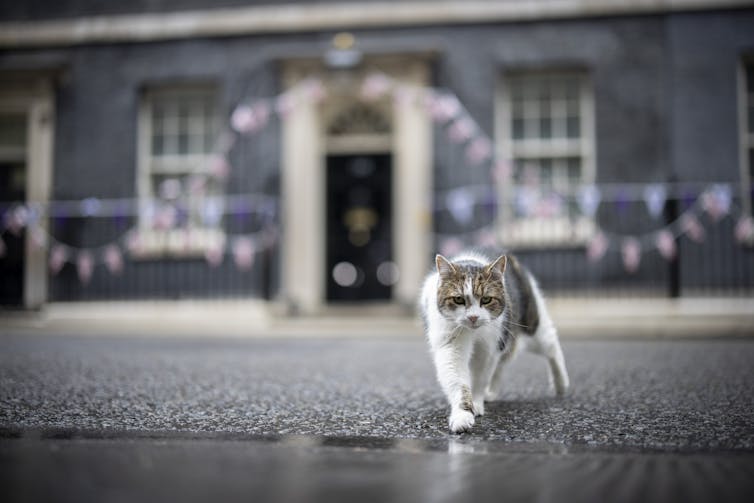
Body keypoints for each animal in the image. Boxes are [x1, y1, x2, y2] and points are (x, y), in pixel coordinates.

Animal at [420, 252, 568, 434]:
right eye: (459, 299)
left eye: (486, 299)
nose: (473, 317)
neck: (473, 332)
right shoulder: (450, 346)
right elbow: (458, 381)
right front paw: (463, 415)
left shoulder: (489, 349)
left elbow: (480, 379)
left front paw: (476, 404)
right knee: (500, 365)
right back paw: (492, 392)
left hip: (531, 328)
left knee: (552, 345)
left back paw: (560, 383)